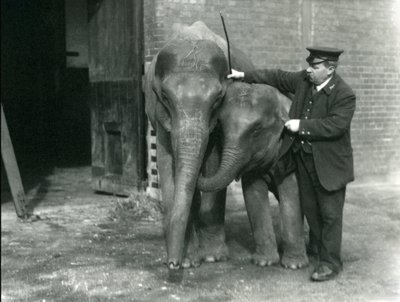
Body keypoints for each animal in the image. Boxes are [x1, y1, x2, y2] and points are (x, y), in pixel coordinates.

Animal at [198, 81, 308, 268]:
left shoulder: (289, 154)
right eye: (221, 128)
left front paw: (294, 265)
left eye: (256, 130)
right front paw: (264, 262)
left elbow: (291, 191)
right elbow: (253, 193)